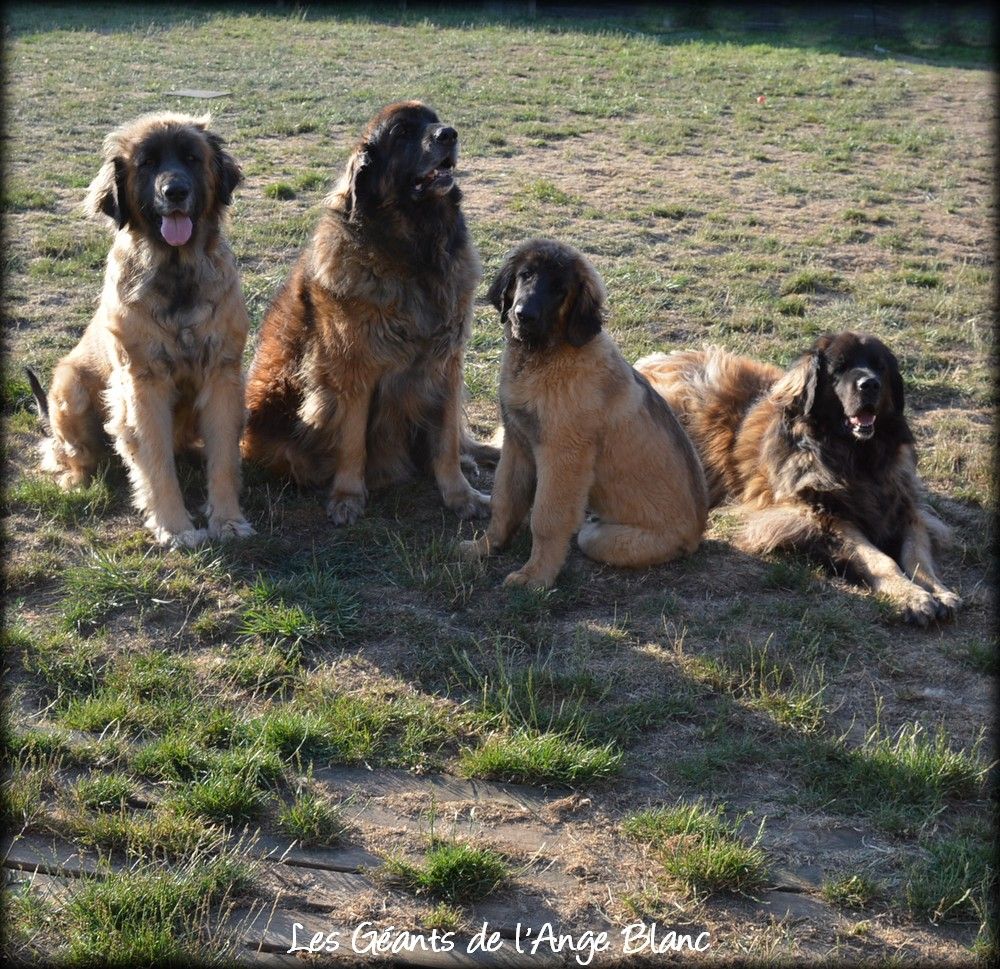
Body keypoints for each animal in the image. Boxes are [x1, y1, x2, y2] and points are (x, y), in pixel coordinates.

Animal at [28, 110, 254, 548]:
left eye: (192, 158)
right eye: (147, 163)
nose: (176, 191)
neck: (177, 272)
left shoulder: (223, 375)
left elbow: (224, 458)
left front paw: (228, 520)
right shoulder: (142, 383)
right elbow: (155, 461)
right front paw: (175, 527)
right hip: (70, 386)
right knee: (68, 453)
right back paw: (75, 479)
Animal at [240, 100, 494, 520]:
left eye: (434, 120)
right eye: (403, 133)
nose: (449, 134)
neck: (415, 256)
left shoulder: (446, 367)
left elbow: (446, 443)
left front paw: (461, 495)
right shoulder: (353, 370)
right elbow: (352, 440)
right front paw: (347, 496)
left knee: (461, 439)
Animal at [460, 240, 712, 588]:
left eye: (559, 289)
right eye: (526, 275)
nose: (524, 315)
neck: (544, 358)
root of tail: (698, 533)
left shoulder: (563, 454)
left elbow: (546, 518)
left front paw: (536, 577)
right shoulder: (517, 443)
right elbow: (504, 501)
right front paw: (485, 547)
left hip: (603, 537)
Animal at [640, 328, 960, 624]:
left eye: (880, 366)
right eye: (839, 368)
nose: (870, 383)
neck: (856, 458)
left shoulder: (905, 509)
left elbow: (917, 558)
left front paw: (938, 591)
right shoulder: (823, 516)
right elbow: (881, 560)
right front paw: (913, 597)